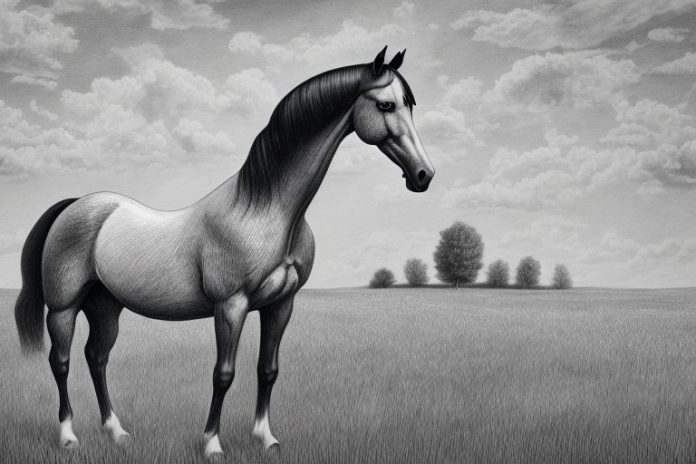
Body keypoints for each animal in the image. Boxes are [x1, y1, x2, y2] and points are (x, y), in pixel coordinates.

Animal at [14, 46, 434, 458]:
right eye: (385, 105)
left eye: (409, 104)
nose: (424, 175)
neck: (264, 210)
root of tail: (76, 205)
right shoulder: (230, 305)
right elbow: (224, 373)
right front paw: (212, 443)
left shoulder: (280, 305)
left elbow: (268, 369)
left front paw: (266, 438)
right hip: (64, 308)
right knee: (61, 362)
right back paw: (68, 436)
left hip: (105, 306)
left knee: (96, 359)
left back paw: (116, 432)